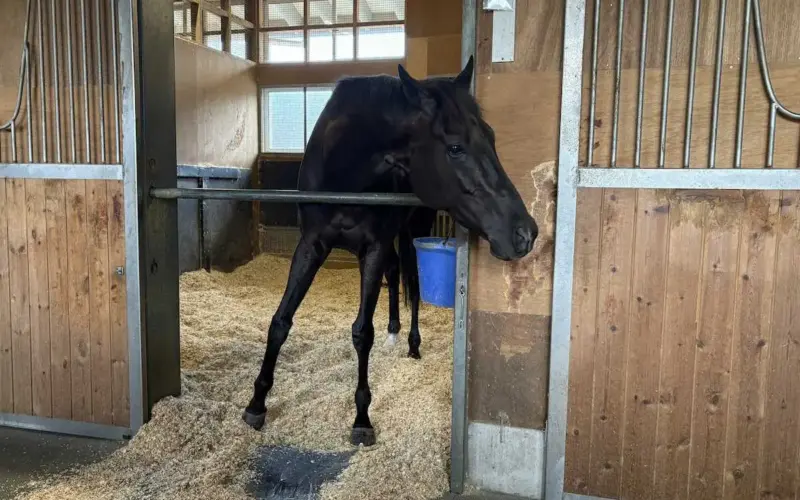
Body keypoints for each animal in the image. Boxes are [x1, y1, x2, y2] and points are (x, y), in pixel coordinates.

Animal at [242, 56, 538, 447]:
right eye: (455, 147)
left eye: (490, 136)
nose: (525, 233)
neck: (345, 171)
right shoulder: (312, 245)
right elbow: (281, 321)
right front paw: (256, 402)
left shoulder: (374, 246)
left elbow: (361, 331)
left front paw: (361, 418)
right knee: (396, 273)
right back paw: (394, 330)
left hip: (413, 229)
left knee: (411, 280)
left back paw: (412, 342)